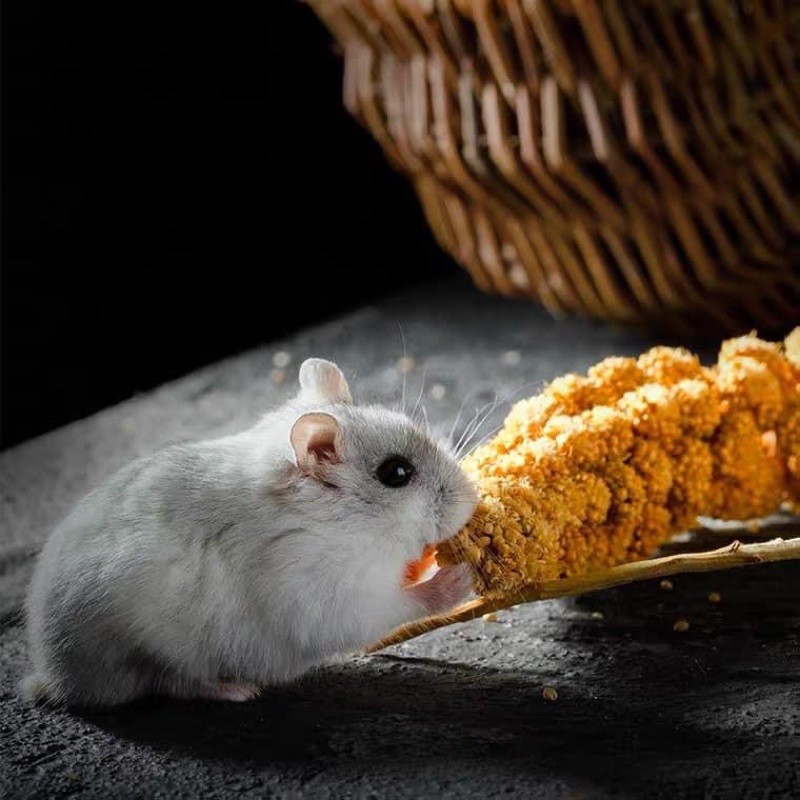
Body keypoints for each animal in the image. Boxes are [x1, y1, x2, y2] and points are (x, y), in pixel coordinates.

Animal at [23, 359, 477, 707]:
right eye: (396, 473)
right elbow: (398, 605)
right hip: (157, 649)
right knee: (173, 683)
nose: (472, 500)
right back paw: (239, 690)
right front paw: (458, 578)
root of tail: (55, 677)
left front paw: (425, 560)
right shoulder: (325, 595)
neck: (339, 522)